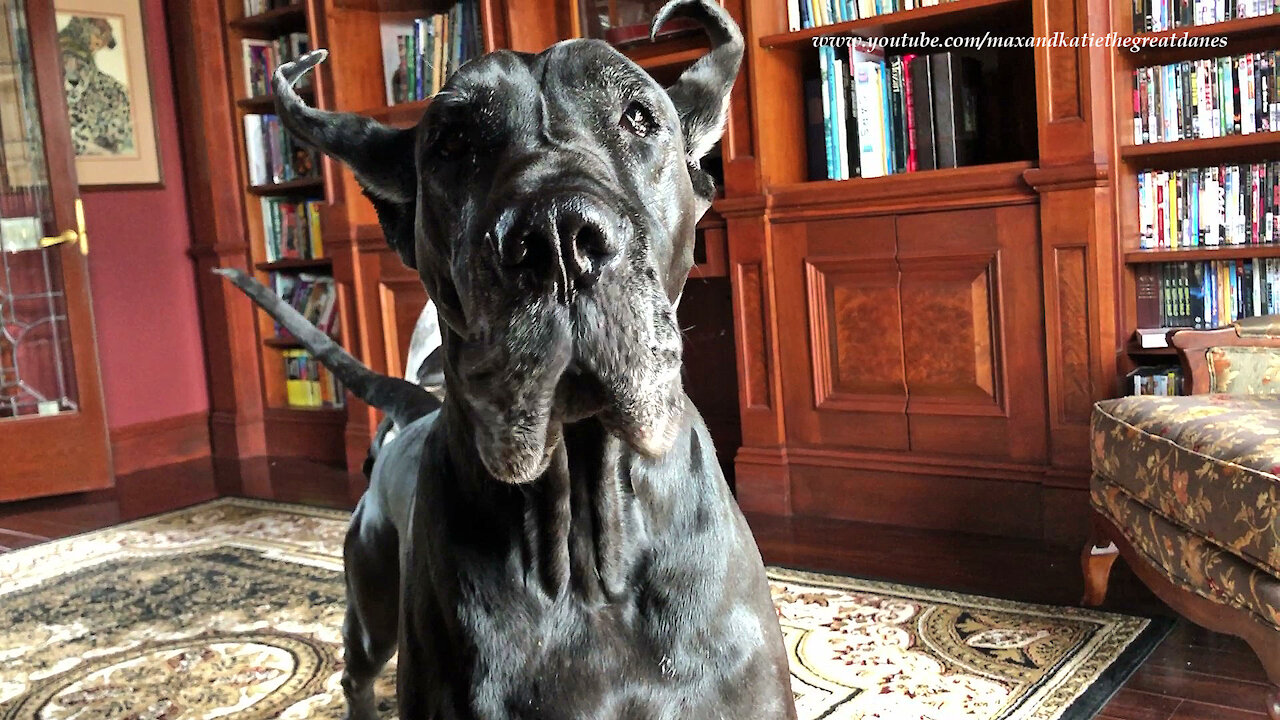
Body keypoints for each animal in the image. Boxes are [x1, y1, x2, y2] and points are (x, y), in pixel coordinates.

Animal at [220, 1, 798, 717]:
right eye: (451, 144)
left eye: (640, 117)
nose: (558, 236)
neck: (587, 557)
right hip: (372, 603)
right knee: (354, 673)